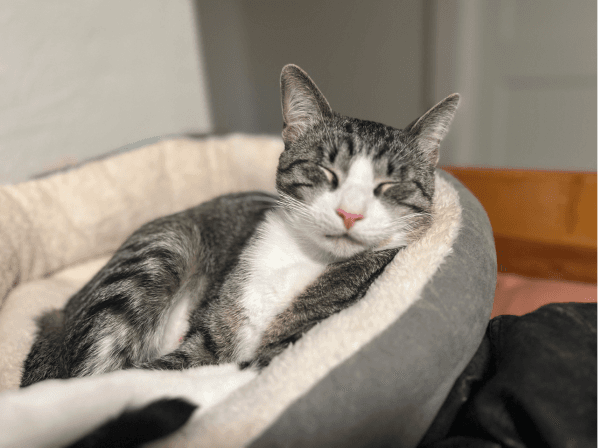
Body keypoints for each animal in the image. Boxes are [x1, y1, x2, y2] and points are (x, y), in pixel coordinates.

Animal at [18, 64, 460, 388]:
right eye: (324, 171)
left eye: (390, 185)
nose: (349, 214)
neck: (306, 258)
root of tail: (62, 309)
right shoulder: (208, 339)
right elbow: (148, 376)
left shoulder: (285, 349)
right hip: (158, 256)